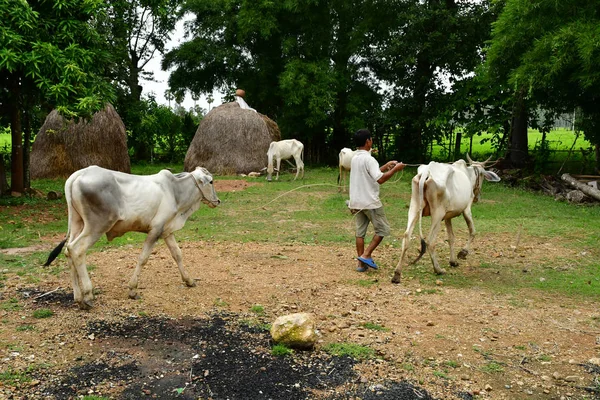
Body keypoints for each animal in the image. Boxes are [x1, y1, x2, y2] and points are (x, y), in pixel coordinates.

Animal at [43, 166, 220, 310]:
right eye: (211, 182)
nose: (217, 201)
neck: (175, 191)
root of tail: (78, 174)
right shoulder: (155, 230)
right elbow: (143, 258)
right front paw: (133, 290)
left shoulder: (166, 231)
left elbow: (177, 254)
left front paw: (189, 280)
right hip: (97, 225)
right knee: (76, 249)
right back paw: (87, 296)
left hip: (77, 223)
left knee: (68, 251)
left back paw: (78, 297)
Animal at [392, 156, 500, 284]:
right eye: (482, 175)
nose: (477, 198)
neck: (468, 174)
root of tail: (426, 172)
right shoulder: (467, 209)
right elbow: (472, 231)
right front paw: (462, 253)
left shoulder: (448, 216)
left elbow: (451, 238)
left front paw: (453, 261)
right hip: (437, 213)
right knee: (430, 241)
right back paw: (438, 269)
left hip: (414, 207)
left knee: (407, 236)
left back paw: (397, 274)